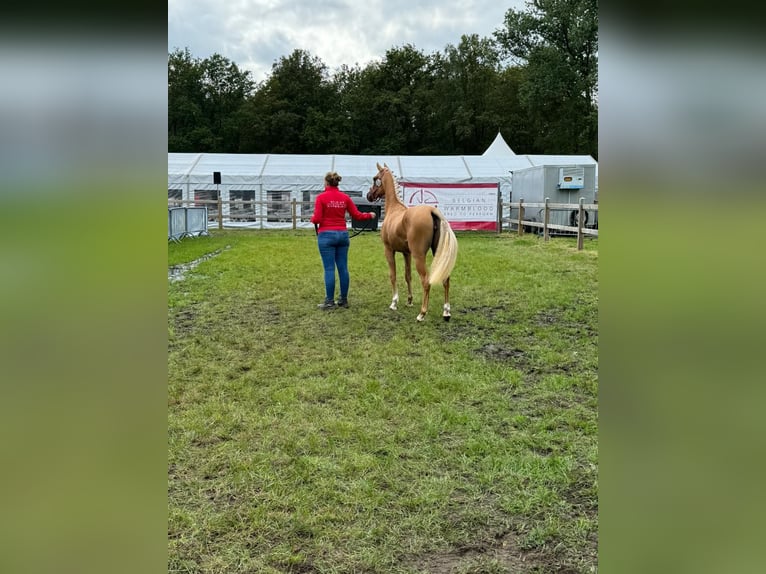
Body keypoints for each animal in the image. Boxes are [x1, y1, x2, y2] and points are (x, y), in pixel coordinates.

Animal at [368, 164, 460, 322]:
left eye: (375, 179)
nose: (369, 195)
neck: (394, 209)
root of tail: (431, 210)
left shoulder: (389, 250)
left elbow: (393, 275)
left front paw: (394, 303)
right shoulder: (407, 253)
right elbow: (407, 275)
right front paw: (409, 300)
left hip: (419, 256)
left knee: (426, 281)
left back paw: (422, 313)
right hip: (437, 253)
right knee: (446, 280)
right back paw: (446, 312)